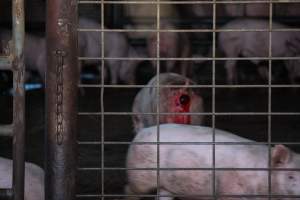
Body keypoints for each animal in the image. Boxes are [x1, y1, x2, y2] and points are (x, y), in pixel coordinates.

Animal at [125, 124, 300, 199]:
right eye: (290, 176)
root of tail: (141, 132)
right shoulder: (230, 192)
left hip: (166, 186)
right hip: (138, 177)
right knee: (129, 190)